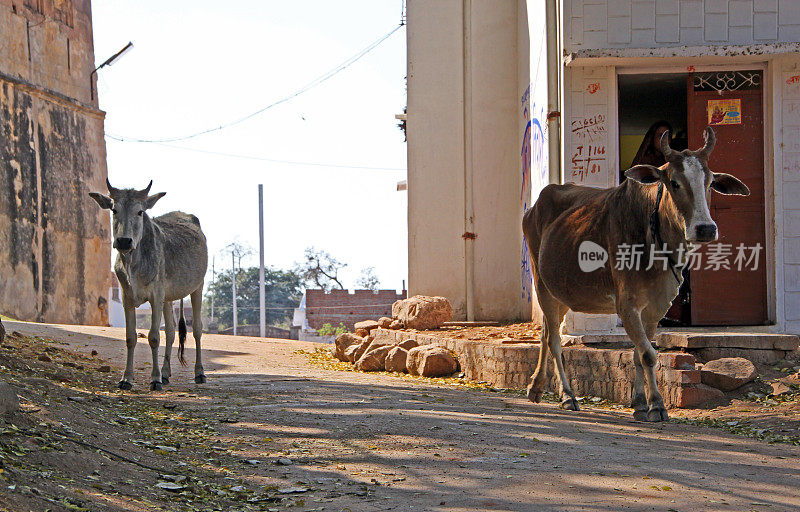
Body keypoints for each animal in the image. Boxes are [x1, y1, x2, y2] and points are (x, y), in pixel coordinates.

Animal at [90, 179, 209, 388]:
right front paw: (126, 378)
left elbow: (154, 337)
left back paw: (199, 373)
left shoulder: (156, 295)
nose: (124, 241)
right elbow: (131, 337)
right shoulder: (127, 297)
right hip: (168, 298)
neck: (133, 263)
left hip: (197, 287)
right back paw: (166, 373)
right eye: (114, 210)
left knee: (197, 330)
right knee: (170, 331)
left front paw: (154, 380)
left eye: (139, 211)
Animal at [524, 128, 752, 420]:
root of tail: (536, 204)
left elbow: (638, 353)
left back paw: (536, 387)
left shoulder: (655, 308)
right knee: (554, 340)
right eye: (674, 183)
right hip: (542, 285)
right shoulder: (627, 306)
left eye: (710, 182)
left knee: (544, 333)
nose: (705, 229)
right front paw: (657, 404)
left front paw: (640, 402)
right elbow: (649, 355)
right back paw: (567, 396)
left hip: (560, 294)